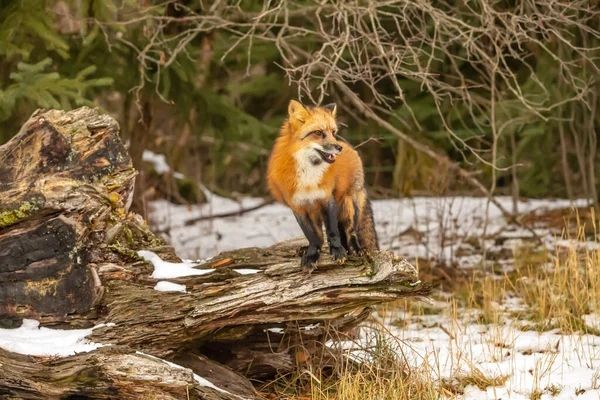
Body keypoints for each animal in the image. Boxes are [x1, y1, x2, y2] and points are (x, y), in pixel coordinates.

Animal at [268, 100, 380, 272]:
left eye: (333, 132)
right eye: (318, 132)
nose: (339, 147)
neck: (308, 176)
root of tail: (351, 148)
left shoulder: (327, 199)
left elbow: (333, 231)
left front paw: (338, 251)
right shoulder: (298, 206)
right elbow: (313, 236)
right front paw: (311, 255)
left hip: (349, 204)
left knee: (351, 231)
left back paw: (355, 249)